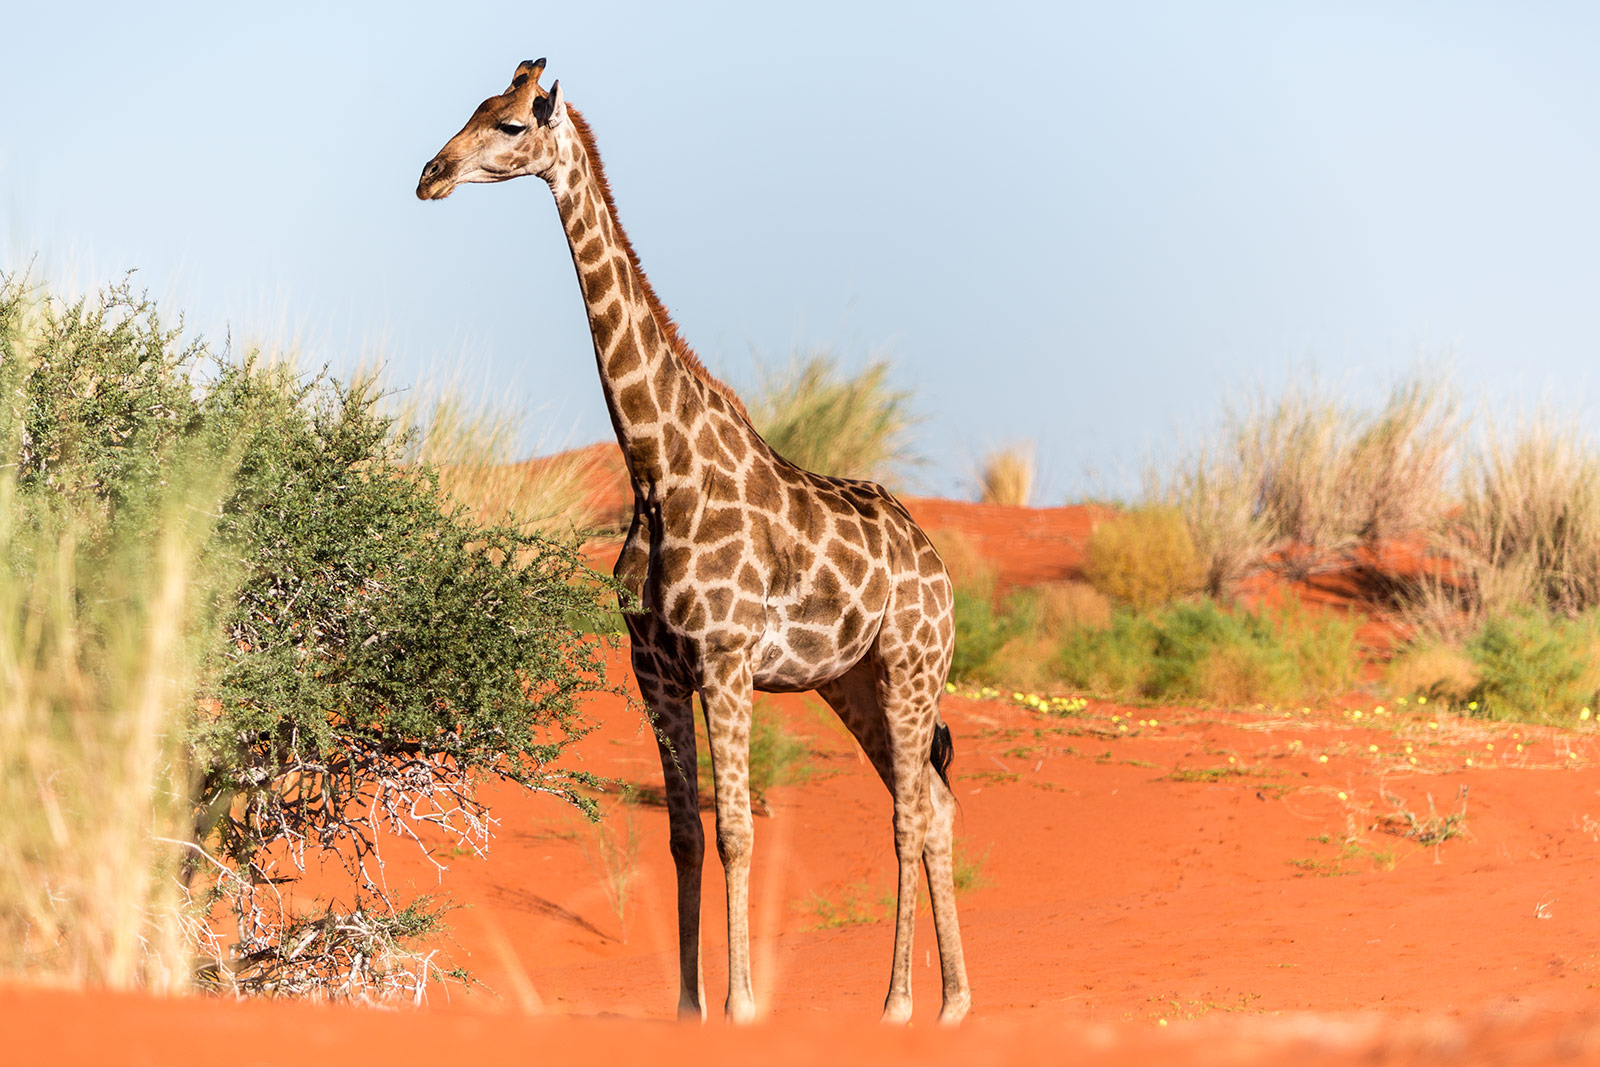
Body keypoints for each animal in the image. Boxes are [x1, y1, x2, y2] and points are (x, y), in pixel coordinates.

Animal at [419, 58, 966, 1023]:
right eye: (473, 109)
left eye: (514, 124)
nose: (430, 174)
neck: (656, 467)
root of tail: (937, 568)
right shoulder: (656, 667)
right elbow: (680, 834)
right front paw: (688, 1007)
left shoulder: (726, 656)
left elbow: (738, 830)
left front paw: (743, 1004)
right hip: (853, 680)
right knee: (932, 801)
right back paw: (953, 1005)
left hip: (911, 663)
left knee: (908, 813)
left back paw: (898, 1003)